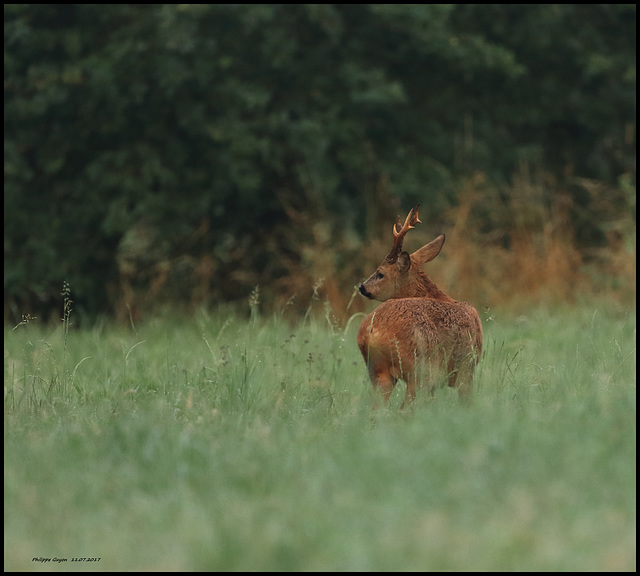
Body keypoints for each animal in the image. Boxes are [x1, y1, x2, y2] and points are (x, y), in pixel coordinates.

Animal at [358, 205, 482, 408]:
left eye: (380, 273)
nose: (362, 287)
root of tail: (372, 330)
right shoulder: (466, 366)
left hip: (379, 373)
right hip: (420, 370)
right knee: (406, 408)